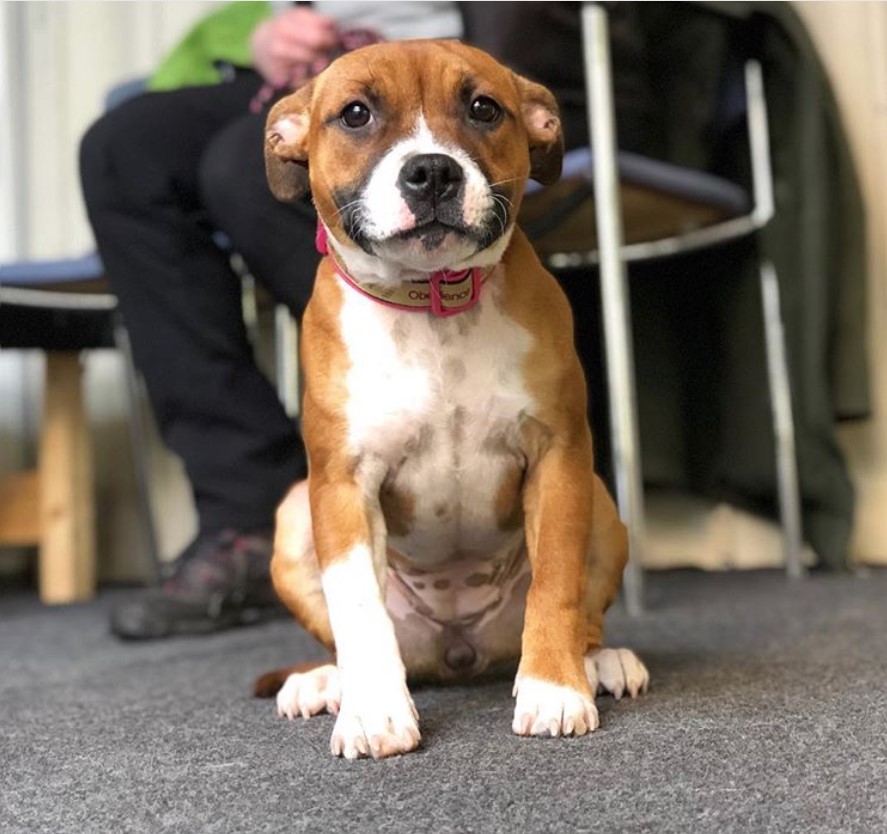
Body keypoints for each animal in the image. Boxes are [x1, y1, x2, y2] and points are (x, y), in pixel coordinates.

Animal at [253, 40, 648, 760]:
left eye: (483, 108)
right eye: (355, 114)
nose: (431, 171)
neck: (432, 303)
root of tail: (459, 651)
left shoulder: (558, 460)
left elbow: (556, 585)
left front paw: (555, 688)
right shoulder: (341, 485)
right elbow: (357, 607)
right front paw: (374, 712)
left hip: (602, 507)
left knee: (584, 615)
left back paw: (597, 661)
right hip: (294, 516)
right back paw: (326, 681)